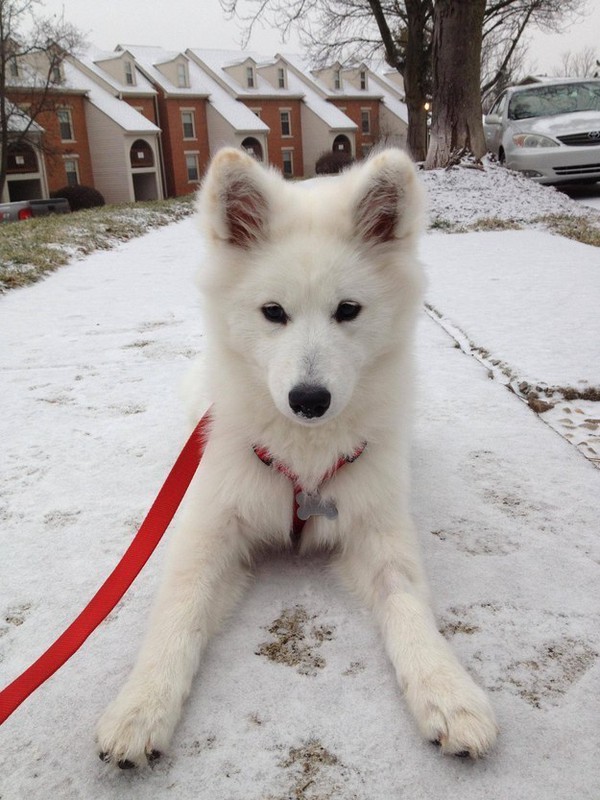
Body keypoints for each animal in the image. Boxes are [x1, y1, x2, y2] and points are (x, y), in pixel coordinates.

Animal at [96, 148, 496, 768]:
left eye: (348, 310)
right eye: (273, 312)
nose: (309, 400)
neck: (303, 458)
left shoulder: (377, 527)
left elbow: (407, 601)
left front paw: (448, 693)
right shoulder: (211, 526)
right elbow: (179, 610)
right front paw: (140, 707)